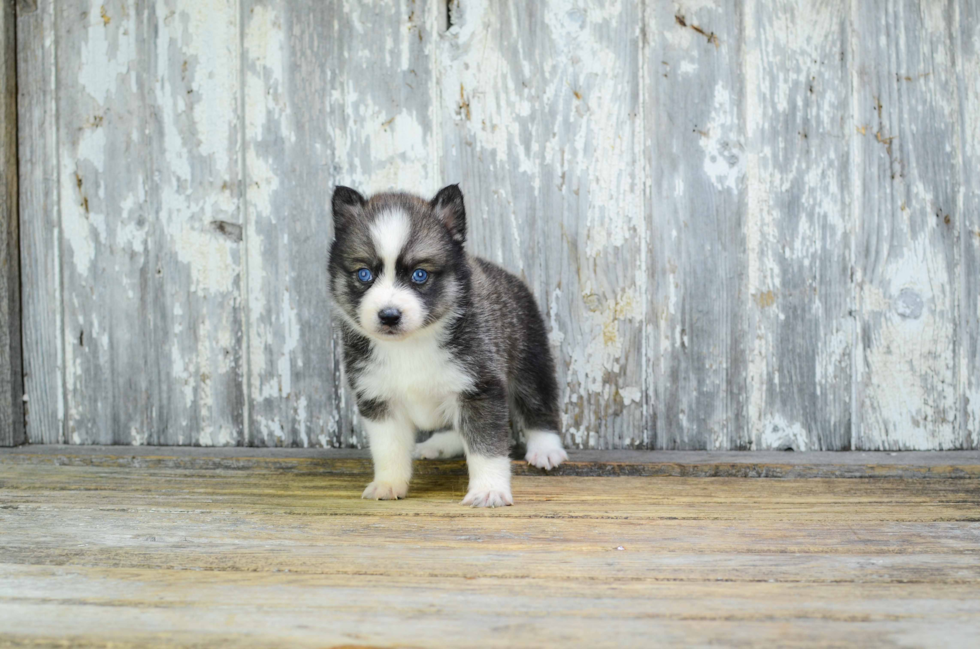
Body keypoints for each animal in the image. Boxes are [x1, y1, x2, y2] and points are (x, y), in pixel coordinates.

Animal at [330, 182, 568, 506]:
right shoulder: (378, 398)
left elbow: (486, 446)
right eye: (364, 274)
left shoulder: (480, 388)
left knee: (538, 403)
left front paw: (488, 489)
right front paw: (388, 483)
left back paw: (546, 447)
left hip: (530, 357)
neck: (410, 344)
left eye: (419, 275)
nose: (389, 316)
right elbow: (389, 448)